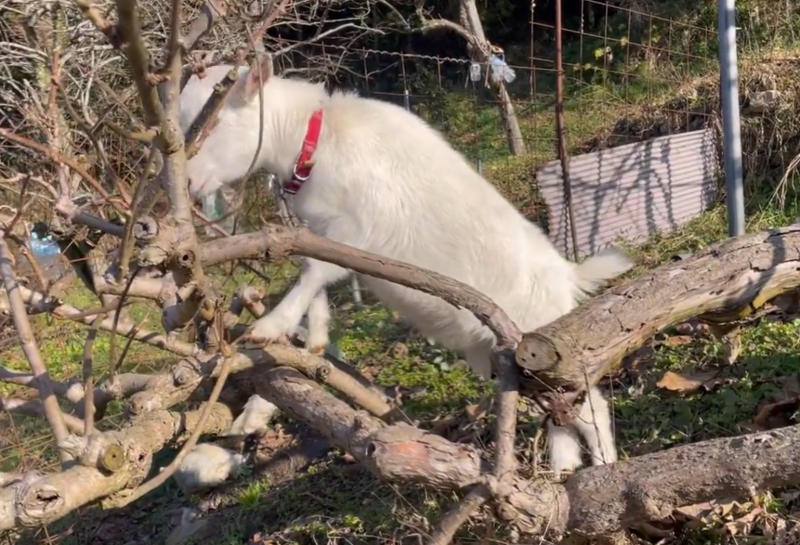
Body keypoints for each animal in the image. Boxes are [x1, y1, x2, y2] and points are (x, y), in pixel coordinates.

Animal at [180, 56, 632, 472]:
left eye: (211, 125)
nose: (188, 183)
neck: (319, 140)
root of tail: (569, 277)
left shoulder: (354, 229)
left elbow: (315, 271)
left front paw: (269, 327)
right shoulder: (320, 230)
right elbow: (315, 274)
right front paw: (314, 337)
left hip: (547, 351)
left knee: (590, 406)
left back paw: (603, 465)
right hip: (521, 362)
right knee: (559, 413)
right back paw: (561, 471)